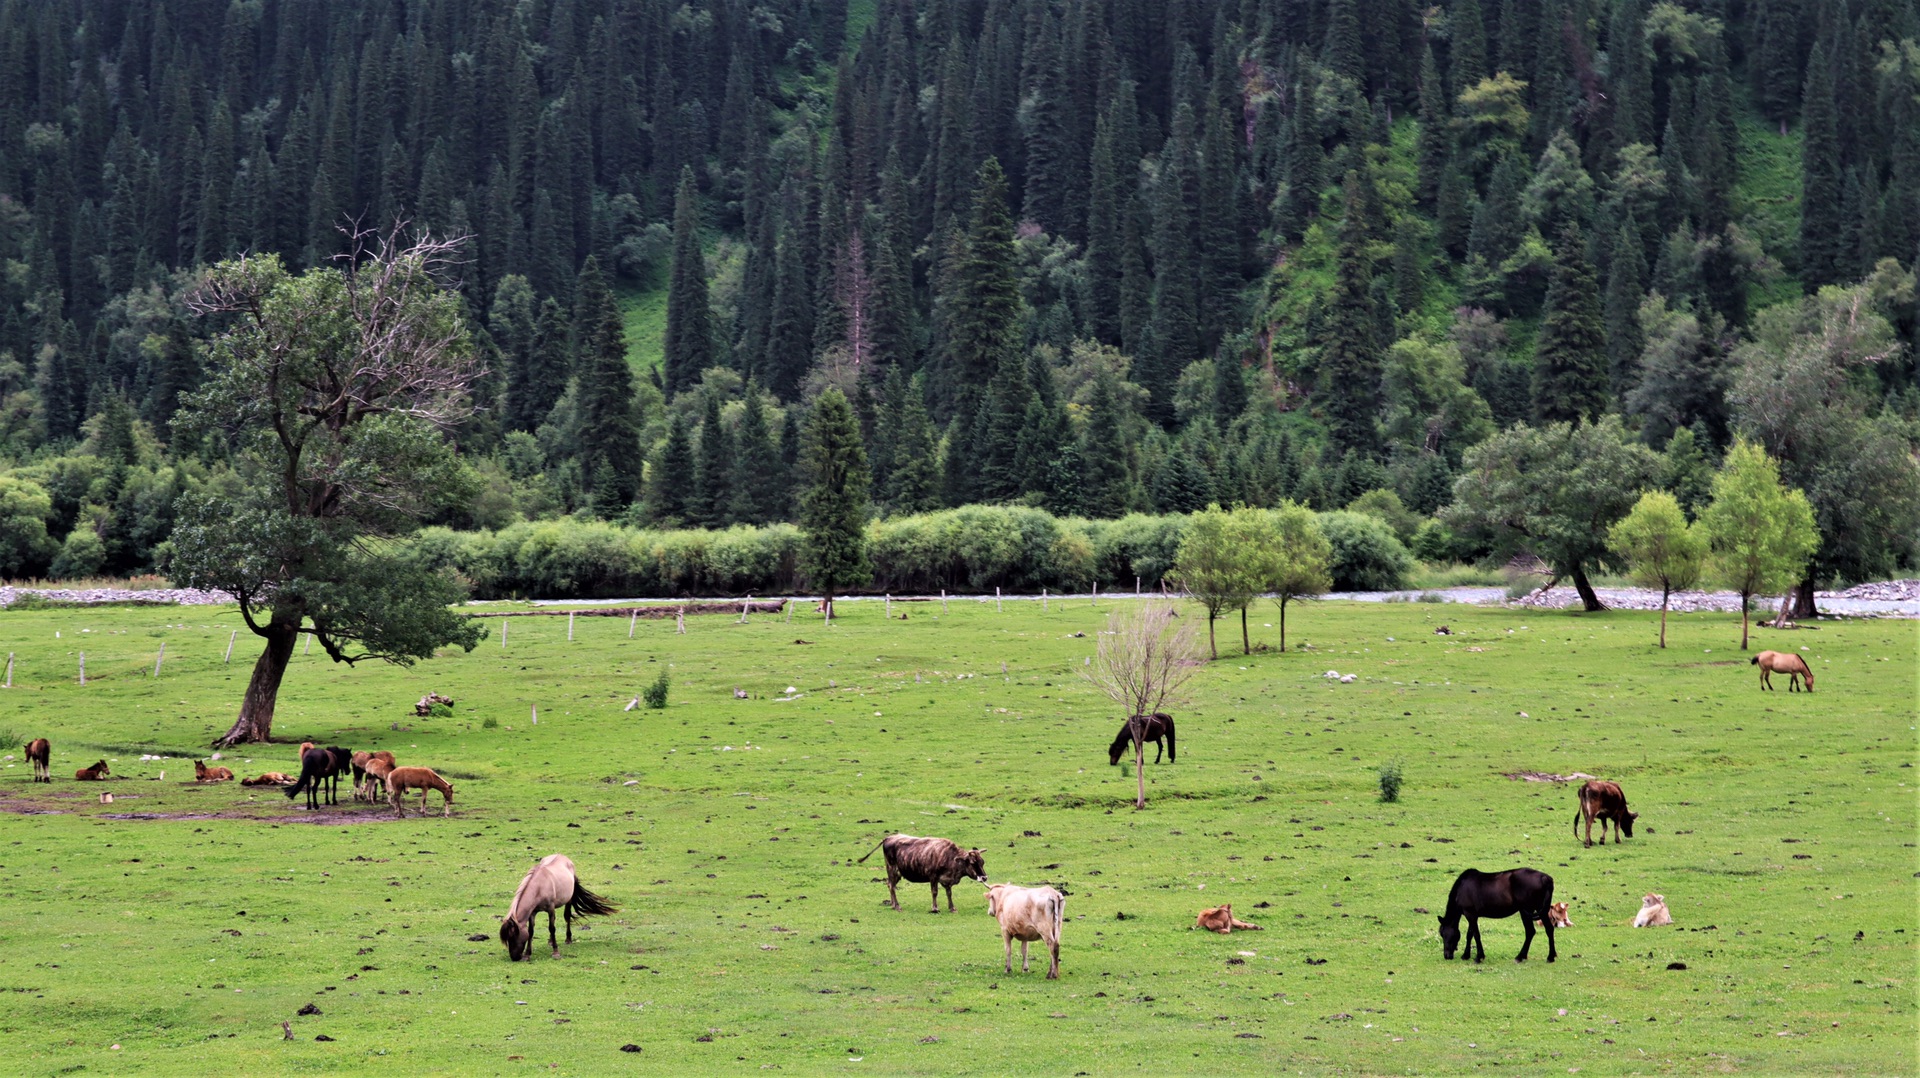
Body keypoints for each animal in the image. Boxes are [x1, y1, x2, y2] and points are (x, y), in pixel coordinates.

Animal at [860, 833, 990, 906]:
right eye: (973, 863)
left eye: (982, 862)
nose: (984, 877)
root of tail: (889, 837)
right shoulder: (933, 876)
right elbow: (934, 892)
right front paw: (935, 908)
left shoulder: (946, 880)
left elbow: (949, 893)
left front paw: (952, 908)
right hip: (892, 869)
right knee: (892, 886)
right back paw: (897, 906)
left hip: (898, 873)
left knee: (889, 884)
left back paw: (892, 904)